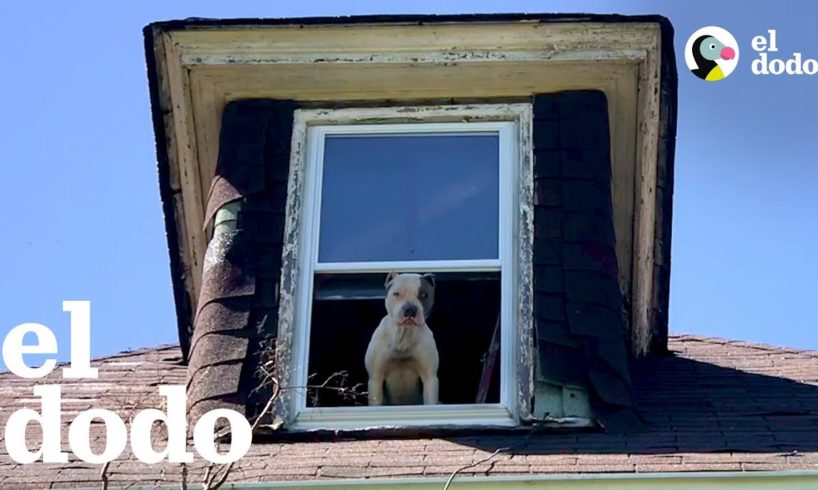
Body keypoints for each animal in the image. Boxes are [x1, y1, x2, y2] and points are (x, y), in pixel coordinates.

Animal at [364, 272, 440, 406]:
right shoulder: (375, 379)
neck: (404, 336)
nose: (410, 309)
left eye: (423, 295)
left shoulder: (430, 378)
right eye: (397, 293)